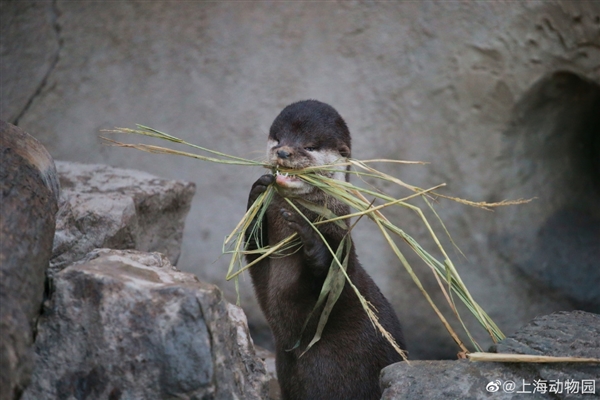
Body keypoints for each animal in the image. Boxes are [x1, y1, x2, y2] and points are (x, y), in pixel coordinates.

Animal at [245, 100, 408, 400]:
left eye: (309, 146)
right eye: (278, 139)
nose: (283, 152)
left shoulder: (341, 245)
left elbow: (334, 278)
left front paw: (308, 234)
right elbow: (253, 249)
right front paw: (257, 193)